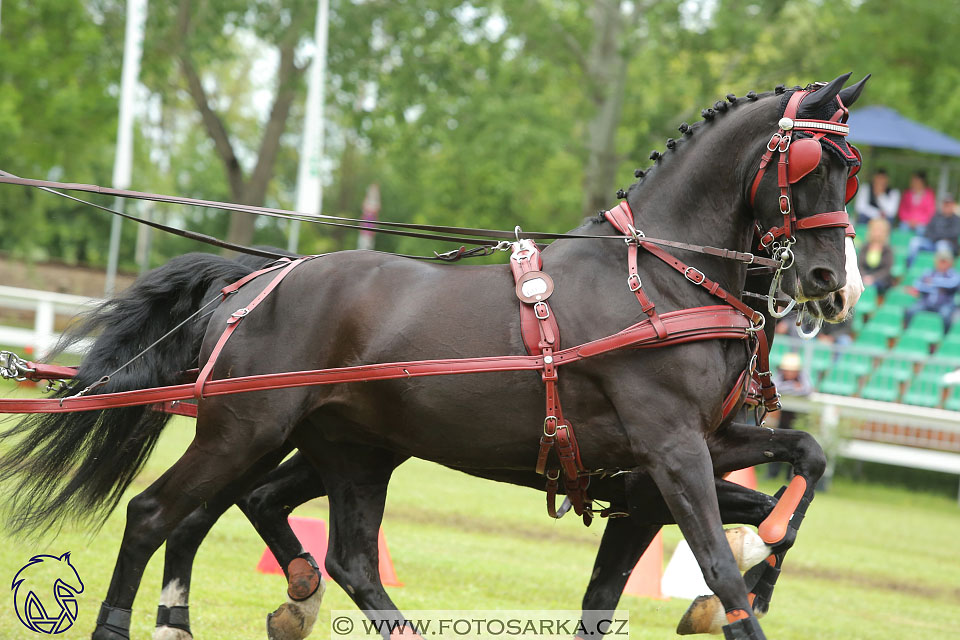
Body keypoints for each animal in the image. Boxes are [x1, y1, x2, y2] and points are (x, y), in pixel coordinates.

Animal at [0, 72, 868, 636]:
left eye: (850, 172)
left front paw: (766, 549)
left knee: (331, 550)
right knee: (159, 515)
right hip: (245, 431)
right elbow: (714, 563)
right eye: (809, 164)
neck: (656, 277)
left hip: (347, 446)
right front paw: (736, 583)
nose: (831, 280)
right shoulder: (670, 451)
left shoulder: (679, 457)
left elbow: (801, 462)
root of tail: (262, 275)